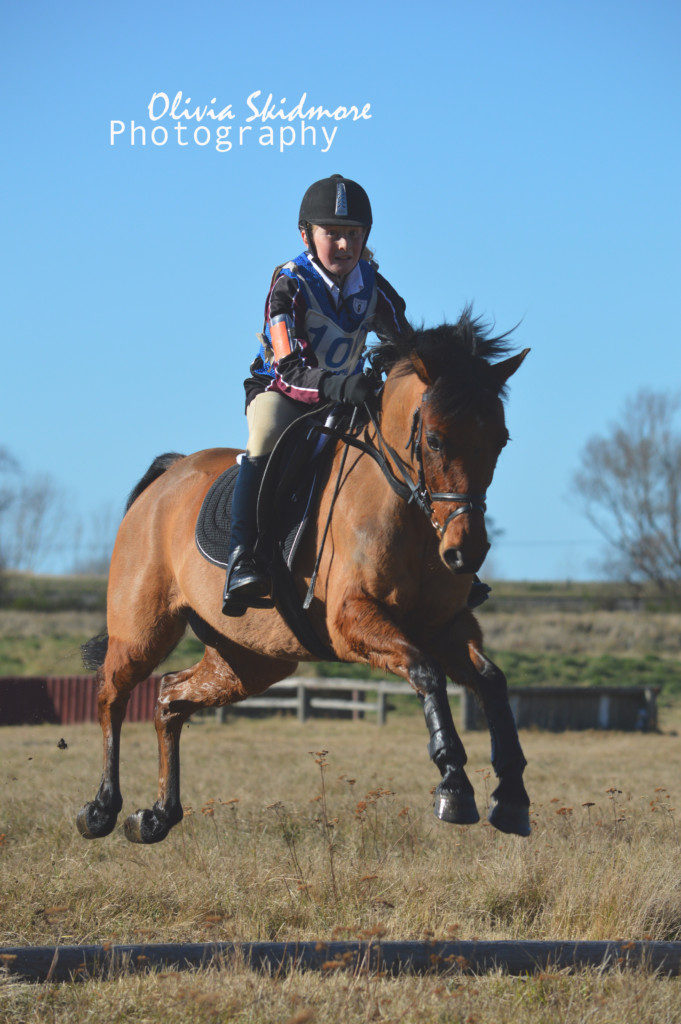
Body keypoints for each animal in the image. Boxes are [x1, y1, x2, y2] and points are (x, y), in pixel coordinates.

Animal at [75, 311, 532, 847]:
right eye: (435, 439)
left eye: (500, 440)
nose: (467, 552)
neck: (410, 512)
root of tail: (168, 477)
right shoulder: (352, 620)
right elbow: (426, 673)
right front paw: (455, 785)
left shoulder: (445, 626)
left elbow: (492, 682)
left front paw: (512, 796)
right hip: (142, 631)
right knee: (112, 694)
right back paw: (101, 808)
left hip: (249, 659)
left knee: (170, 696)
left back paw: (158, 815)